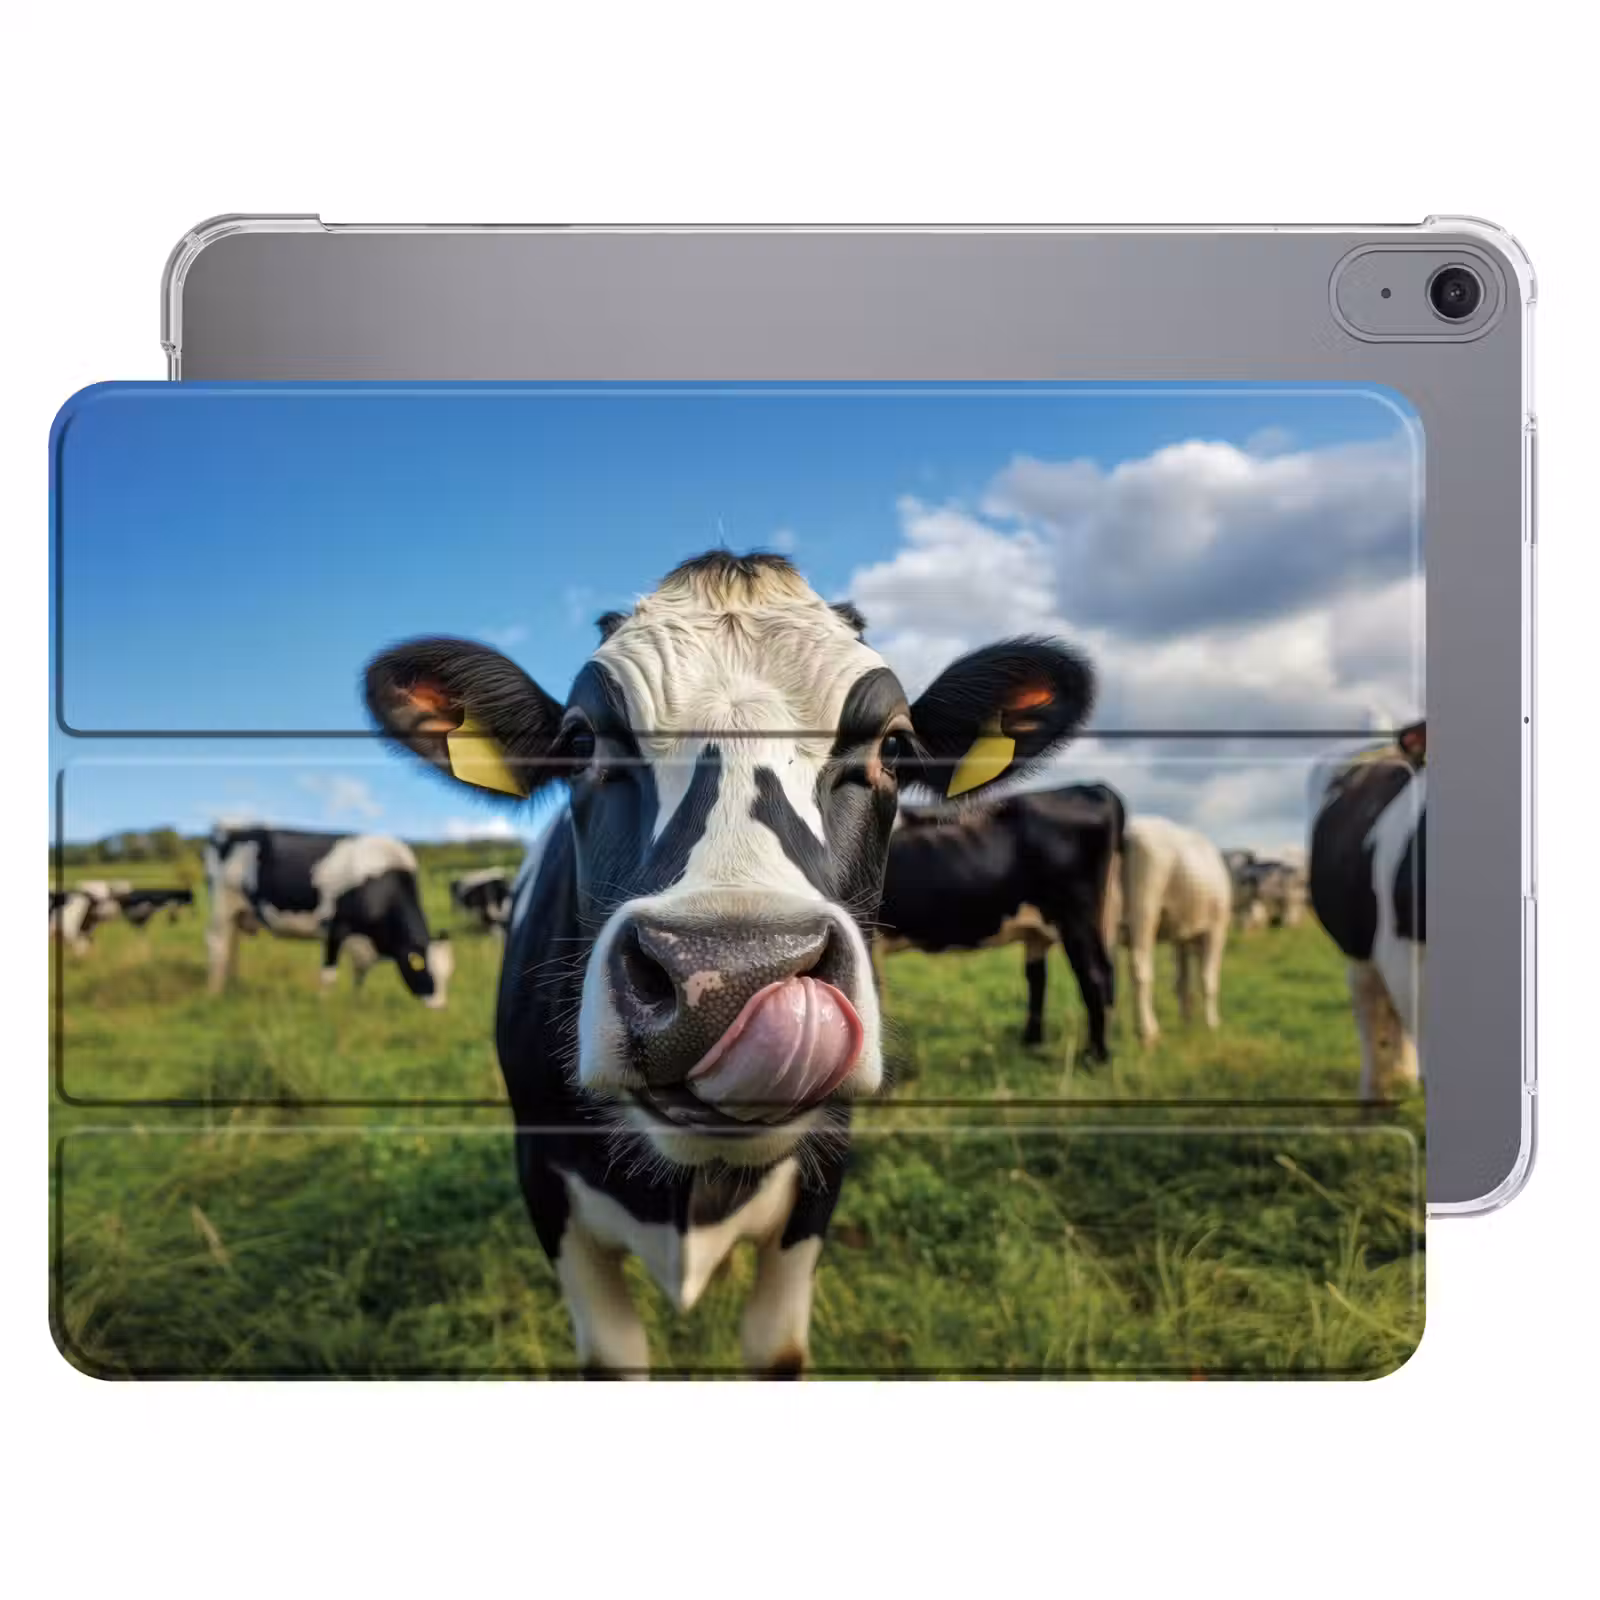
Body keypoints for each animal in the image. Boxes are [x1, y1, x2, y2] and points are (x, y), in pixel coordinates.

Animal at [204, 826, 454, 1006]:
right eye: (424, 970)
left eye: (448, 974)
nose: (439, 1008)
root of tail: (228, 831)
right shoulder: (336, 928)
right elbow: (329, 974)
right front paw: (323, 1005)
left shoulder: (363, 943)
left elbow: (360, 976)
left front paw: (356, 1004)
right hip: (221, 908)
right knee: (218, 947)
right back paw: (214, 993)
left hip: (238, 914)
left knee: (232, 948)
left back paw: (232, 986)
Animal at [363, 550, 1095, 1375]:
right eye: (582, 743)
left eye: (894, 746)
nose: (728, 979)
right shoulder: (545, 1183)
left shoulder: (821, 1176)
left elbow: (775, 1347)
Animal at [875, 783, 1125, 1062]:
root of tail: (1091, 787)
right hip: (1070, 923)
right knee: (1046, 976)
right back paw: (1033, 1043)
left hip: (1076, 916)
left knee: (1094, 976)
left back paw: (1094, 1056)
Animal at [1119, 815, 1232, 1045]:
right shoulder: (1217, 929)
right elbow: (1208, 978)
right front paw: (1212, 1024)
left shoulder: (1181, 937)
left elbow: (1182, 981)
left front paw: (1187, 1021)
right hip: (1144, 907)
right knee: (1140, 967)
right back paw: (1148, 1031)